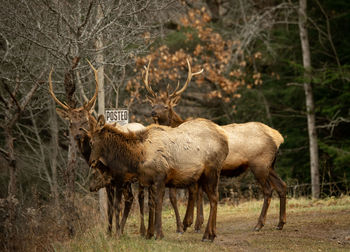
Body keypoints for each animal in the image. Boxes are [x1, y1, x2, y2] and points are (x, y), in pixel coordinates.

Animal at [47, 62, 145, 236]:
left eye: (85, 120)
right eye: (70, 122)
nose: (78, 135)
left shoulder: (115, 178)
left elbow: (115, 206)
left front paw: (115, 233)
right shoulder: (106, 180)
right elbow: (110, 209)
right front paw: (109, 233)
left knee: (138, 197)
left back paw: (139, 230)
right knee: (130, 198)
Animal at [87, 115, 230, 241]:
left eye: (91, 142)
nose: (91, 161)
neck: (138, 158)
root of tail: (225, 141)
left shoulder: (160, 177)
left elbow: (158, 203)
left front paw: (159, 234)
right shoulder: (149, 180)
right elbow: (151, 204)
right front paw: (149, 233)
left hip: (211, 171)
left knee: (213, 199)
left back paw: (207, 235)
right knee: (213, 197)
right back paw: (212, 233)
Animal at [143, 59, 288, 232]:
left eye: (166, 106)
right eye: (153, 105)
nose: (153, 113)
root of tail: (278, 137)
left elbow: (191, 193)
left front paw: (189, 223)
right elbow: (197, 194)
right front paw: (196, 223)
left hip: (259, 164)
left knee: (268, 190)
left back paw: (259, 224)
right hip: (270, 165)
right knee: (282, 186)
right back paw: (280, 223)